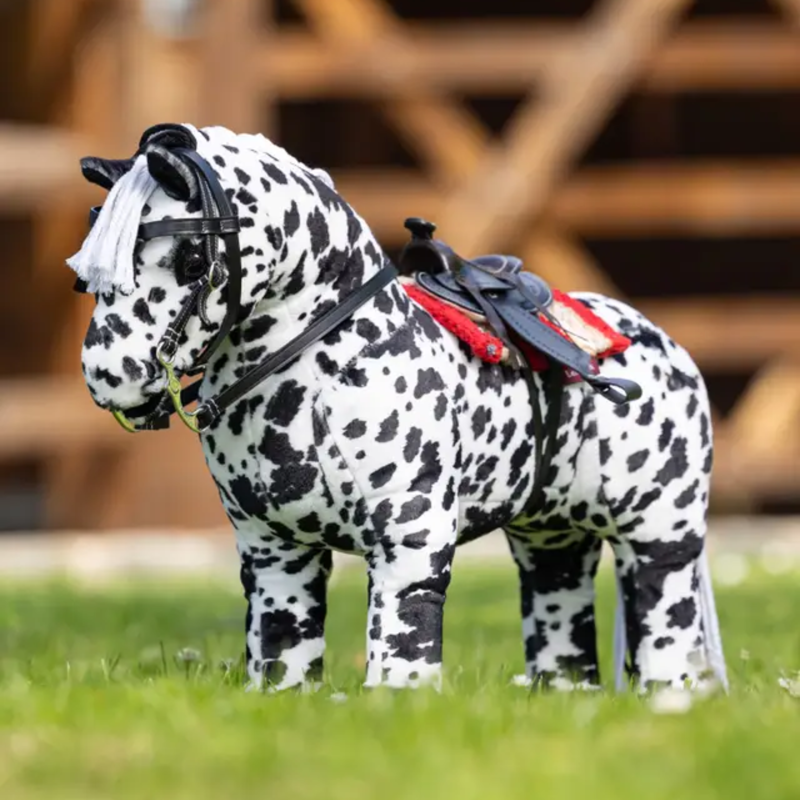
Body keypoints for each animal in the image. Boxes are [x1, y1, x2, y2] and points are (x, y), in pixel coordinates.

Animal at [67, 122, 727, 694]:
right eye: (88, 275)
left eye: (191, 261)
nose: (110, 376)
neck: (321, 374)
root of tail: (661, 341)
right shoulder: (275, 555)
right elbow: (283, 656)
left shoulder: (409, 548)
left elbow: (402, 656)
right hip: (552, 546)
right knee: (565, 650)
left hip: (659, 540)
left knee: (666, 631)